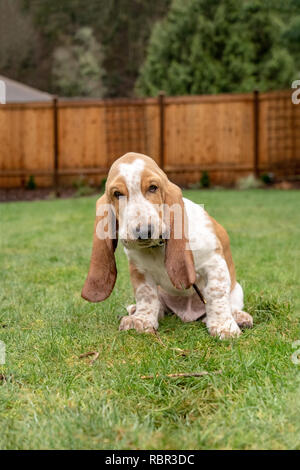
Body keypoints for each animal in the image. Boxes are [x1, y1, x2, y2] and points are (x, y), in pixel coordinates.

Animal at [82, 152, 253, 340]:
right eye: (117, 193)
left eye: (153, 188)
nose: (143, 231)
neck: (157, 247)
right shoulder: (140, 271)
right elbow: (146, 295)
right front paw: (142, 320)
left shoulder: (214, 263)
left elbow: (216, 294)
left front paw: (224, 327)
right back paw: (134, 312)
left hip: (237, 289)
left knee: (231, 304)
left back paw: (239, 317)